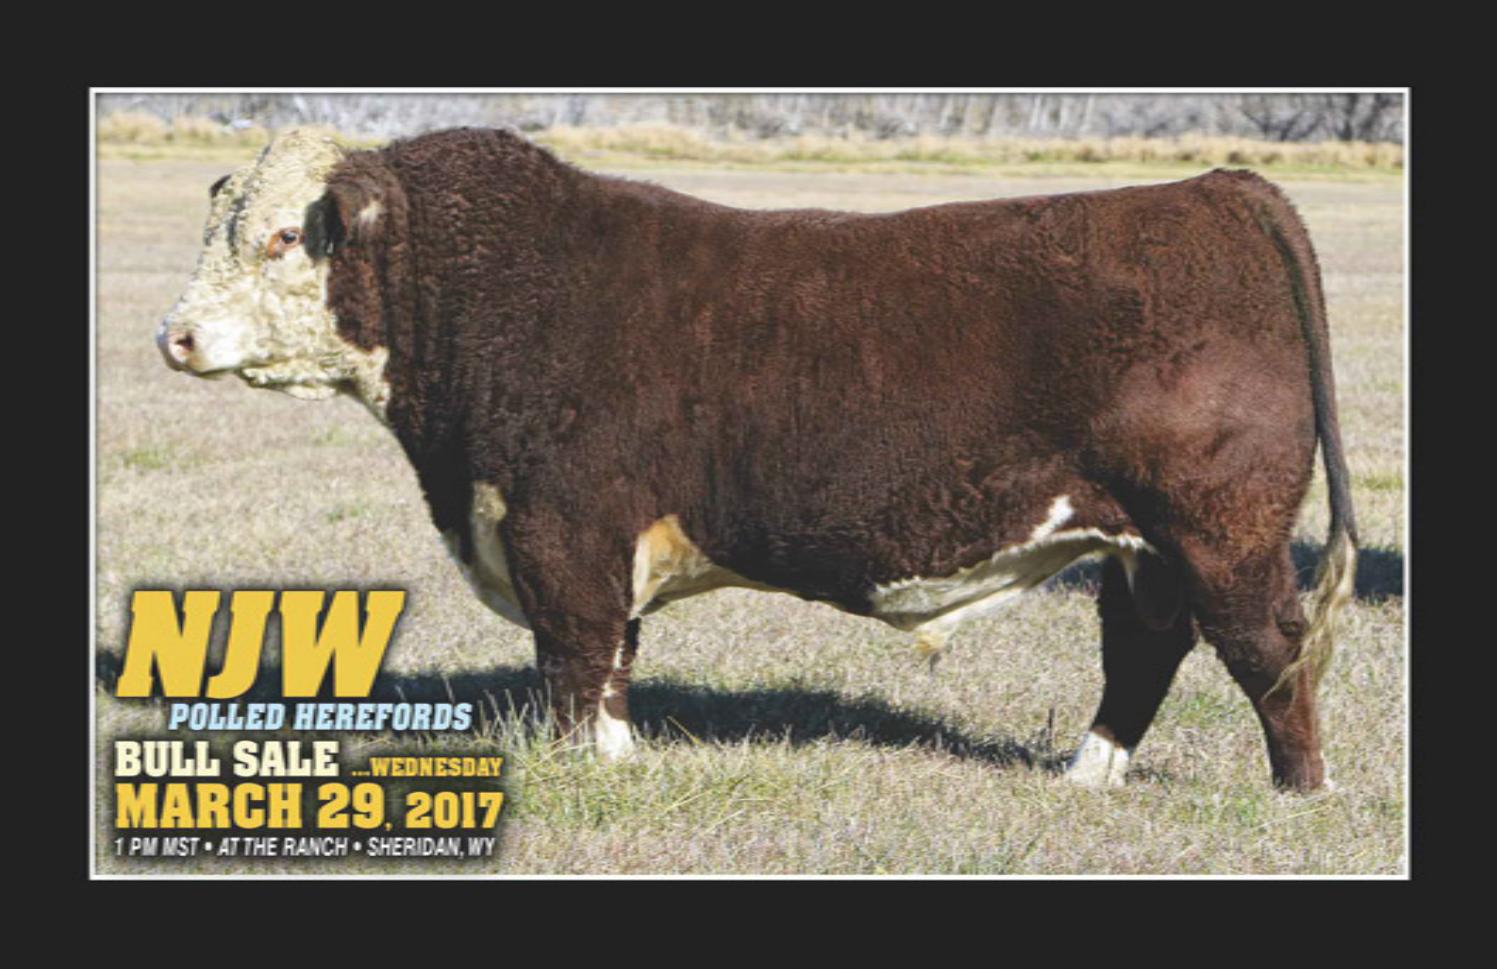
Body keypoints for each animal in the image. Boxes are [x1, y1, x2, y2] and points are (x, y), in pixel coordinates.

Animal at [158, 126, 1358, 792]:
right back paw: (1088, 775)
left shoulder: (561, 530)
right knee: (1147, 649)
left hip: (1220, 528)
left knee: (1267, 645)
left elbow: (576, 659)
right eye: (220, 227)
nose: (175, 336)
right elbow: (610, 660)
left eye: (283, 236)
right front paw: (615, 756)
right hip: (1141, 542)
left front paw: (596, 769)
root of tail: (1212, 188)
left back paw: (1299, 792)